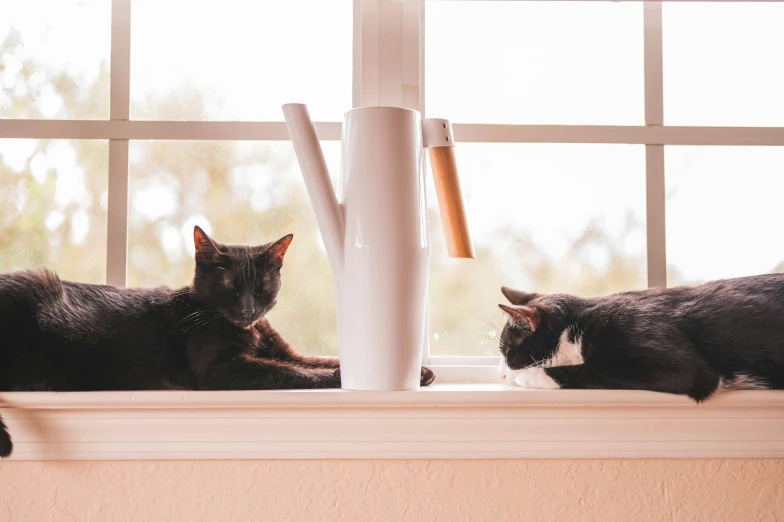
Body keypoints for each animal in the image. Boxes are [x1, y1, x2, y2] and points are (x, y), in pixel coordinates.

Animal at [0, 225, 434, 458]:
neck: (249, 330)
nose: (247, 308)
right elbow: (294, 372)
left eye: (262, 286)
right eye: (229, 286)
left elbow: (321, 360)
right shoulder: (222, 369)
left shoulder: (286, 350)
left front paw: (422, 372)